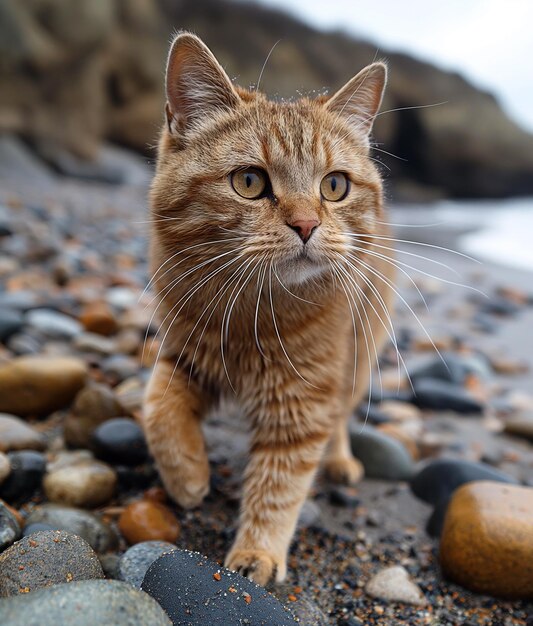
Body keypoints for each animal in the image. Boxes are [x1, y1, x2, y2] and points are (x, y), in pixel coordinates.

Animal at [143, 30, 392, 584]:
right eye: (250, 182)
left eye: (334, 186)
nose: (306, 224)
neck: (252, 315)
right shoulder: (183, 351)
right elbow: (157, 407)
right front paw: (188, 475)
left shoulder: (302, 404)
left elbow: (279, 483)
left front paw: (257, 552)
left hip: (361, 351)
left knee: (343, 413)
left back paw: (340, 460)